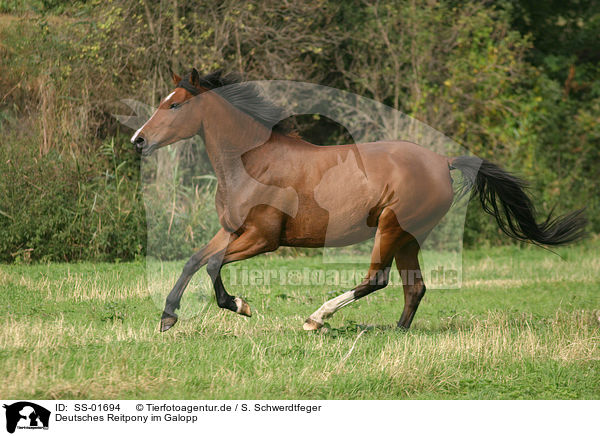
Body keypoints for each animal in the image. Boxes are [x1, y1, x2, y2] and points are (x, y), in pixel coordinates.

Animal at [131, 68, 584, 332]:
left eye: (174, 105)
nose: (138, 141)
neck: (252, 161)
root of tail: (442, 160)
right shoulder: (231, 229)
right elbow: (194, 260)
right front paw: (168, 317)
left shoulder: (263, 238)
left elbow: (212, 265)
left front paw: (239, 305)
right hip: (408, 236)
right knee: (414, 287)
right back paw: (396, 333)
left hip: (391, 227)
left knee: (377, 280)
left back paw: (317, 318)